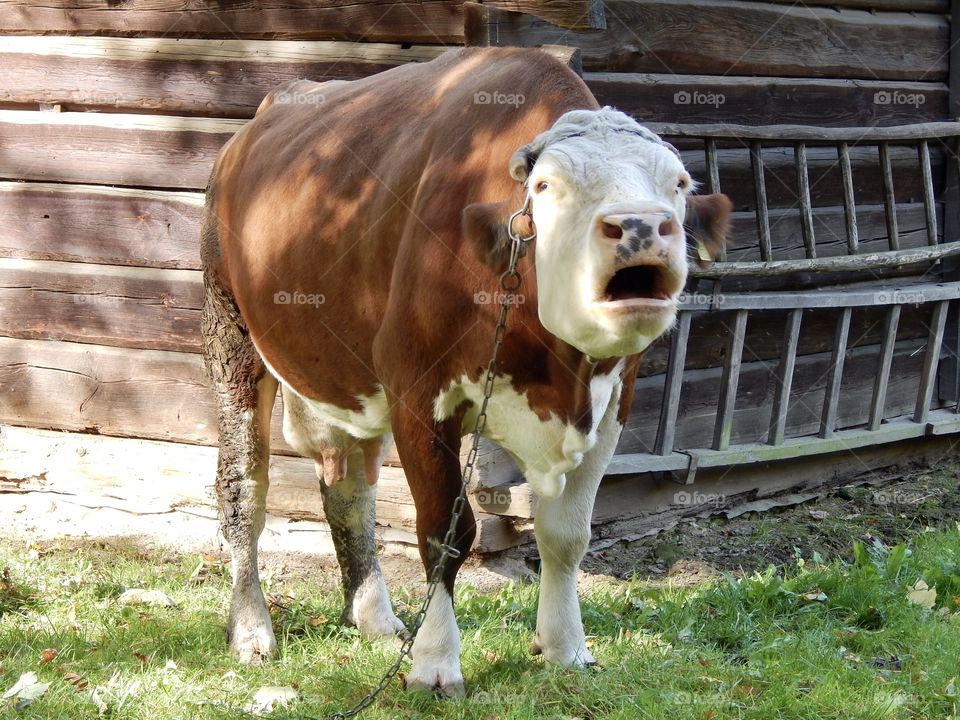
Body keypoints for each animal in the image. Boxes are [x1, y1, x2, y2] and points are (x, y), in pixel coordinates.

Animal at [200, 46, 730, 697]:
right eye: (547, 186)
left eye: (678, 183)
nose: (640, 225)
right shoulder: (417, 392)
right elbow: (445, 533)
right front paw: (434, 663)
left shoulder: (612, 408)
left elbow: (567, 535)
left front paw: (565, 647)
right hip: (230, 331)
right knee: (242, 489)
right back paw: (251, 628)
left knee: (349, 489)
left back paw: (374, 617)